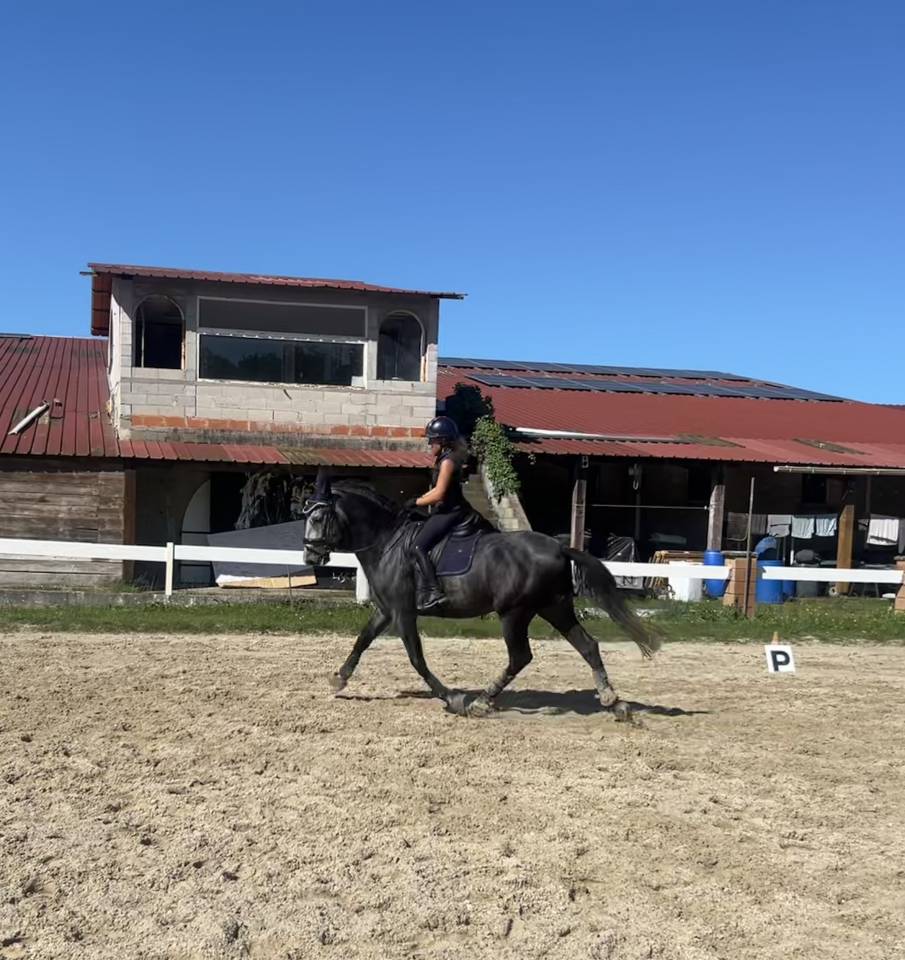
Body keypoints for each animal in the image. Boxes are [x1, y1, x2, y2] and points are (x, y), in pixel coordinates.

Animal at [302, 472, 661, 718]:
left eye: (317, 517)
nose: (309, 557)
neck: (386, 540)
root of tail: (559, 547)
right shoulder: (387, 610)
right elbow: (362, 640)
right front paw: (339, 679)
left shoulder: (403, 612)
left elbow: (417, 658)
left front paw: (452, 697)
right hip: (554, 607)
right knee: (587, 645)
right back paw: (614, 702)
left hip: (514, 613)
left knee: (520, 657)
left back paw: (481, 701)